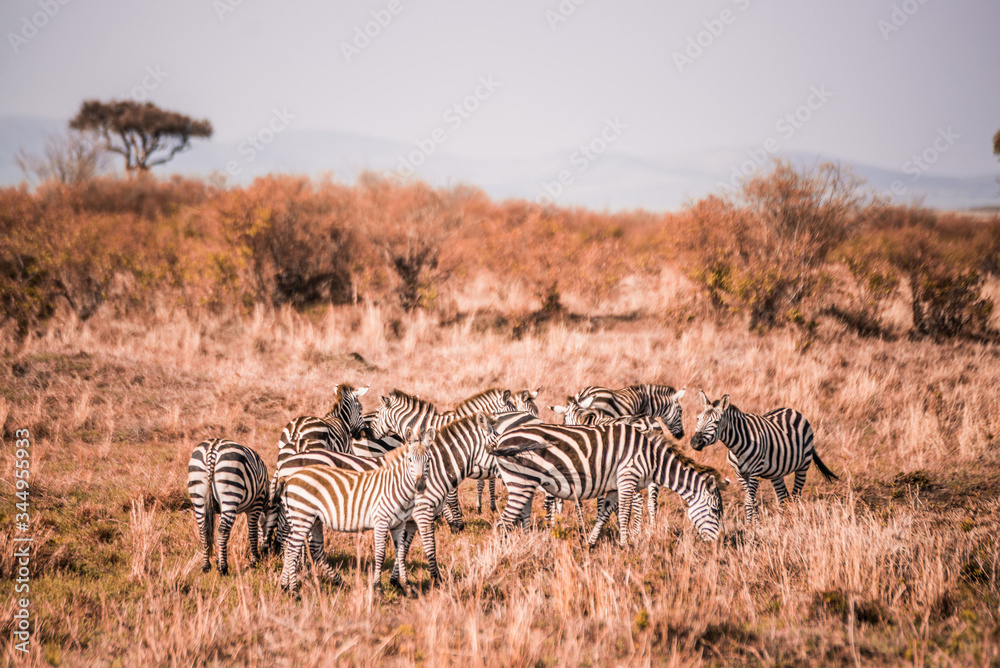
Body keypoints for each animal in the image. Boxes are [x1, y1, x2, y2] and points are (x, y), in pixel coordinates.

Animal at [187, 438, 269, 575]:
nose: (265, 551)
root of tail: (212, 449)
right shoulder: (256, 503)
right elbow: (253, 532)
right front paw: (254, 561)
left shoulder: (221, 508)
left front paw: (218, 559)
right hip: (230, 490)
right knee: (223, 531)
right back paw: (223, 569)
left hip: (199, 494)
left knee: (204, 530)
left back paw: (206, 566)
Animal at [278, 432, 431, 595]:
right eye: (410, 460)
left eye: (428, 460)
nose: (420, 486)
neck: (395, 485)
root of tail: (288, 478)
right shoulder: (384, 520)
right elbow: (382, 553)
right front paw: (379, 588)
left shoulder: (399, 524)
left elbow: (401, 553)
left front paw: (406, 586)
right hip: (302, 517)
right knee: (293, 549)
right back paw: (294, 591)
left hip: (310, 519)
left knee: (302, 547)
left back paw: (286, 585)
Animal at [491, 422, 726, 547]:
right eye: (715, 511)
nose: (717, 545)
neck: (652, 458)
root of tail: (501, 438)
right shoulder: (627, 477)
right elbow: (623, 515)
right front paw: (625, 546)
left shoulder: (613, 487)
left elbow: (603, 515)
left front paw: (590, 544)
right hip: (520, 482)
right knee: (503, 523)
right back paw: (505, 554)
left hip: (525, 483)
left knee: (521, 517)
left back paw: (526, 544)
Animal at [690, 391, 838, 525]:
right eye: (698, 418)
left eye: (716, 422)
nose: (695, 442)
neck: (736, 446)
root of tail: (792, 410)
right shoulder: (739, 474)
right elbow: (752, 500)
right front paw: (755, 524)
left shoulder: (754, 472)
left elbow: (749, 500)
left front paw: (750, 526)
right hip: (777, 472)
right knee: (782, 496)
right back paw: (779, 523)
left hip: (803, 466)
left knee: (796, 495)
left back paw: (795, 520)